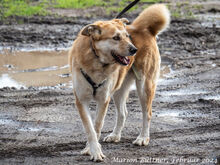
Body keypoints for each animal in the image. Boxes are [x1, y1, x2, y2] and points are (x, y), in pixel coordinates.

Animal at [69, 3, 170, 161]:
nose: (134, 49)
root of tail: (145, 29)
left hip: (144, 87)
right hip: (118, 89)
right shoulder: (81, 100)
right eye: (116, 38)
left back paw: (143, 138)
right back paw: (115, 135)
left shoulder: (103, 99)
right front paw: (91, 149)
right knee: (123, 113)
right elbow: (89, 128)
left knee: (147, 113)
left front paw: (93, 151)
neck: (96, 60)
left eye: (127, 37)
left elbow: (97, 126)